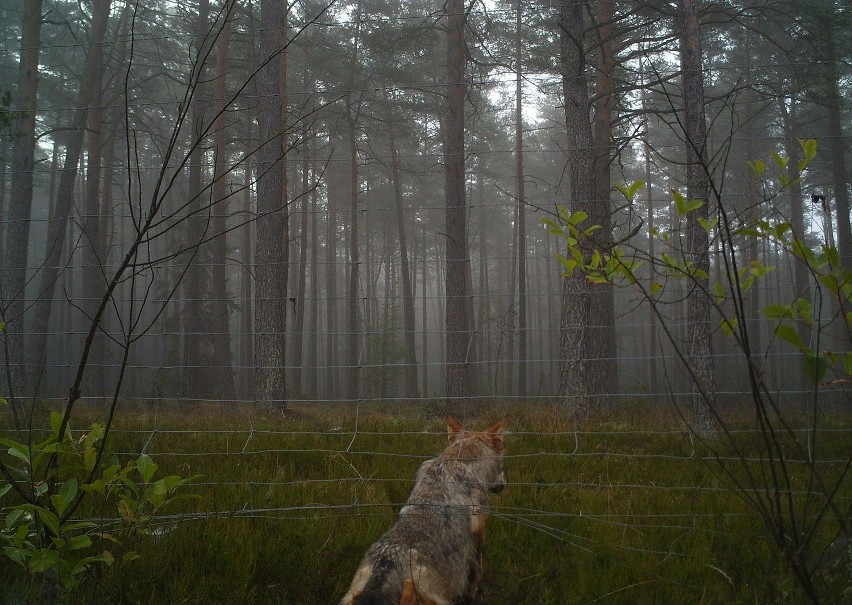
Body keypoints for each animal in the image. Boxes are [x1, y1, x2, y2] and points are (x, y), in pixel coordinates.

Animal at [340, 416, 506, 604]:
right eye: (504, 458)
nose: (503, 485)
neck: (458, 459)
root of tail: (383, 570)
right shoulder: (480, 531)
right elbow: (477, 570)